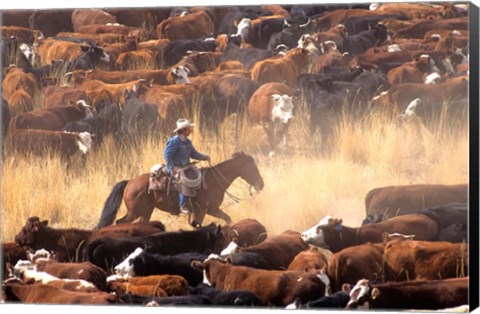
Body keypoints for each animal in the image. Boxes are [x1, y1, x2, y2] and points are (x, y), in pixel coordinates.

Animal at [95, 152, 264, 228]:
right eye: (252, 168)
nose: (261, 184)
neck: (213, 181)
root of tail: (130, 182)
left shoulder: (212, 209)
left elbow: (227, 219)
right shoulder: (201, 210)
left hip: (146, 212)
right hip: (134, 212)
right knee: (119, 222)